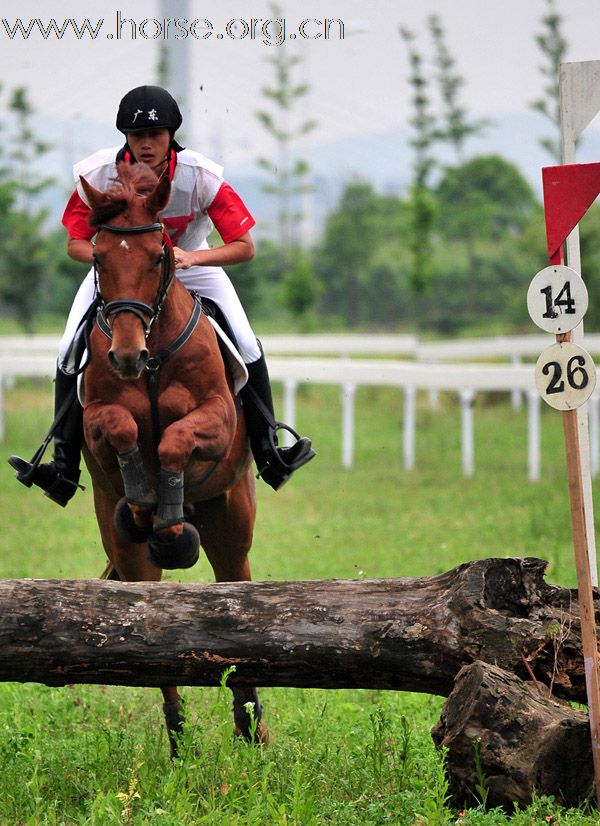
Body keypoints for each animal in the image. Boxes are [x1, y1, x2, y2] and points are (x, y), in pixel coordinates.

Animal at [79, 163, 268, 752]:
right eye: (98, 256)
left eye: (157, 256)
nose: (125, 356)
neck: (156, 353)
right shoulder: (97, 419)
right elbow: (121, 428)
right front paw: (146, 501)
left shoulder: (217, 418)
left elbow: (175, 441)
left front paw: (166, 510)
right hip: (122, 545)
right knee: (146, 622)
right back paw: (180, 737)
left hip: (231, 520)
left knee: (236, 597)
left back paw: (251, 724)